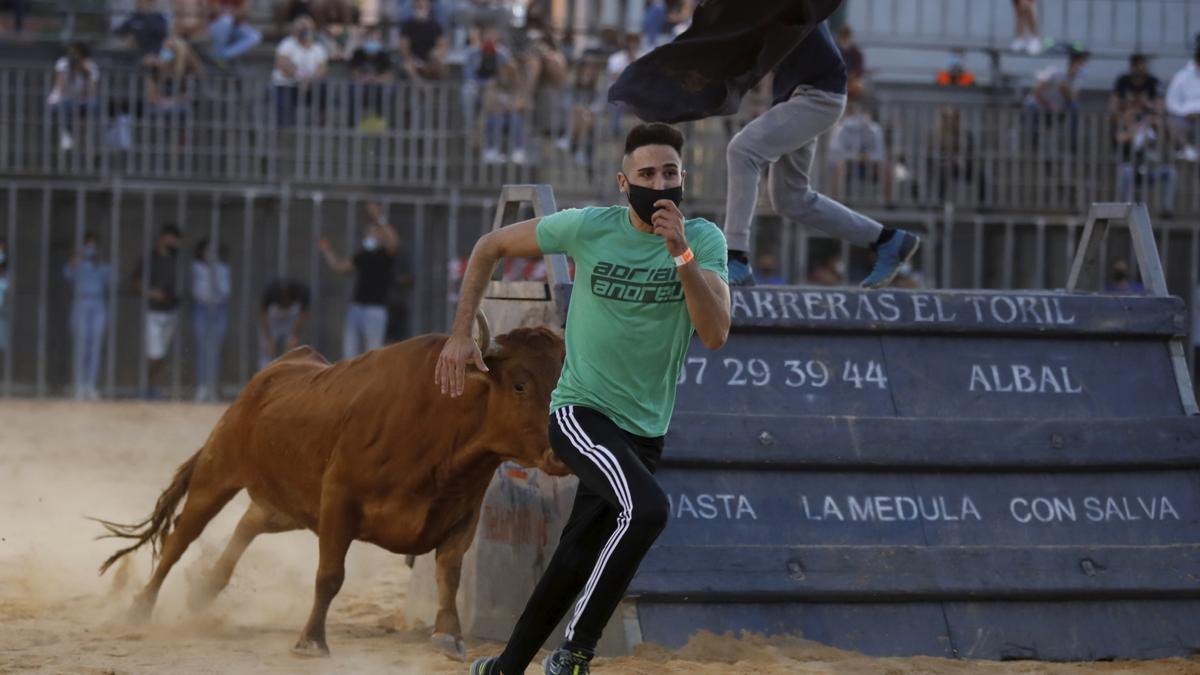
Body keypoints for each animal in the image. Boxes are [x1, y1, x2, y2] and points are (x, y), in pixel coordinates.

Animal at [93, 317, 571, 658]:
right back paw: (140, 607)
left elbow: (448, 574)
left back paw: (204, 590)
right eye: (520, 384)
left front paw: (449, 637)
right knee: (180, 538)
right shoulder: (339, 501)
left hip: (287, 504)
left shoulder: (462, 515)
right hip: (218, 471)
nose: (561, 454)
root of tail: (272, 373)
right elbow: (329, 575)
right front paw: (311, 640)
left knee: (250, 522)